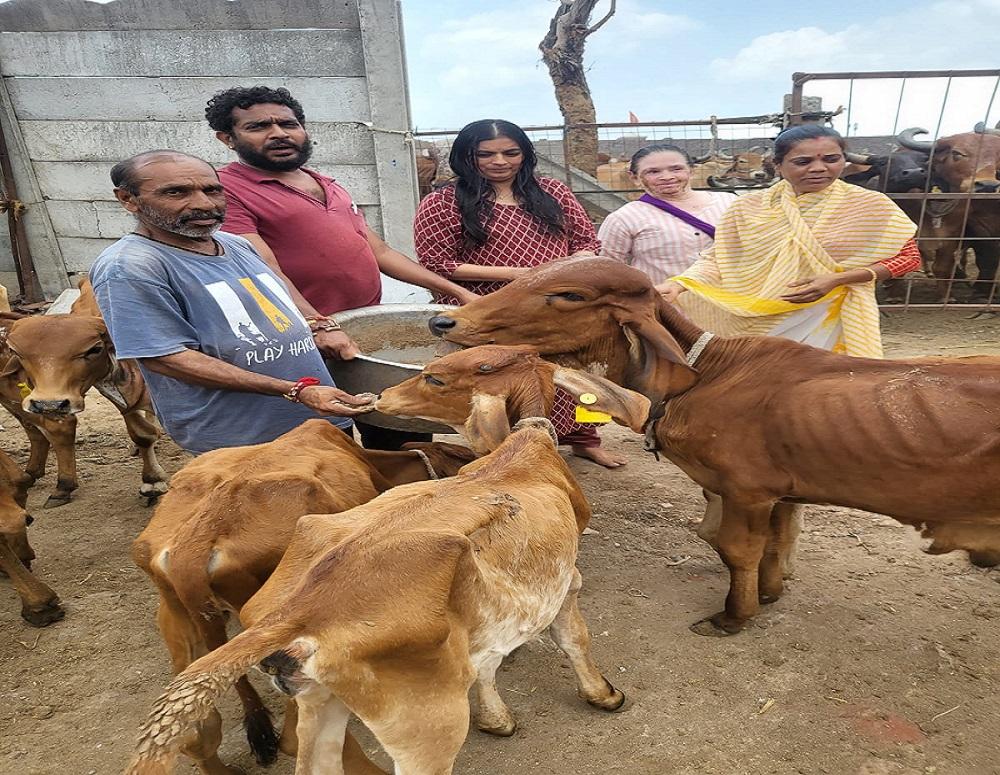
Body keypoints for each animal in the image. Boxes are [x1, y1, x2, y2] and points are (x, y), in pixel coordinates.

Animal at [0, 316, 166, 510]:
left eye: (94, 349)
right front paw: (152, 481)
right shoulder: (124, 402)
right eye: (16, 352)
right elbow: (142, 434)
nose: (50, 404)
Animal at [432, 260, 1000, 636]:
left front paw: (735, 615)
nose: (444, 321)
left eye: (569, 294)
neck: (702, 376)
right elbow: (774, 546)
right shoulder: (780, 496)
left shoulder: (747, 492)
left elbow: (736, 550)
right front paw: (770, 593)